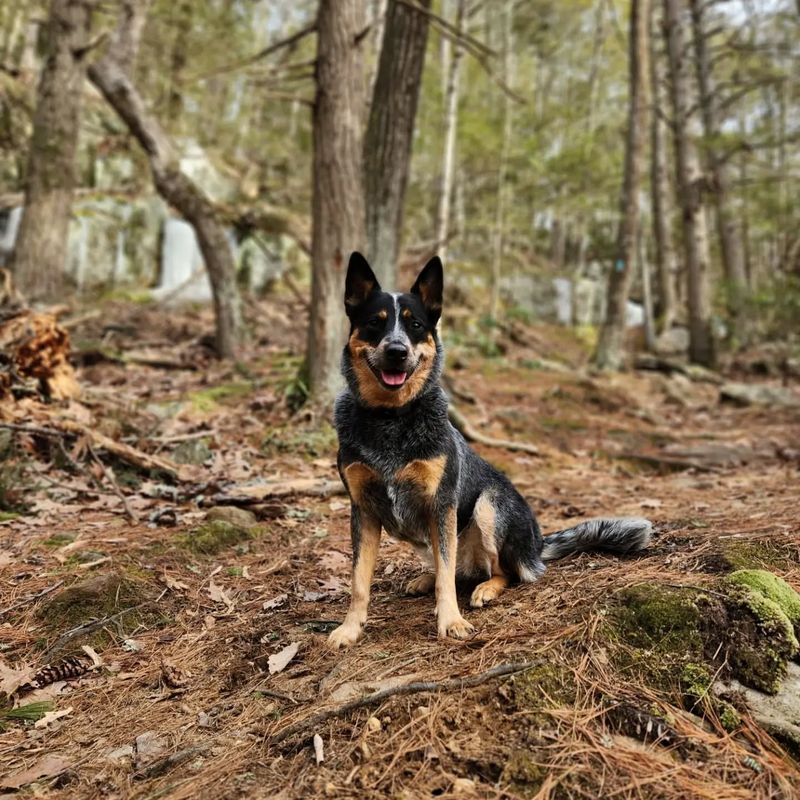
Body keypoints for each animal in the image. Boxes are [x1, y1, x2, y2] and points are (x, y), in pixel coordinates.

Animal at [328, 253, 652, 648]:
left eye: (415, 325)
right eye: (375, 323)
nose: (397, 351)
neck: (391, 418)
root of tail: (537, 545)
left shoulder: (442, 504)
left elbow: (446, 578)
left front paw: (450, 620)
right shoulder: (363, 510)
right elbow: (360, 581)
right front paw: (350, 628)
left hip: (489, 505)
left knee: (499, 572)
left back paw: (485, 588)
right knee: (451, 570)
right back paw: (426, 579)